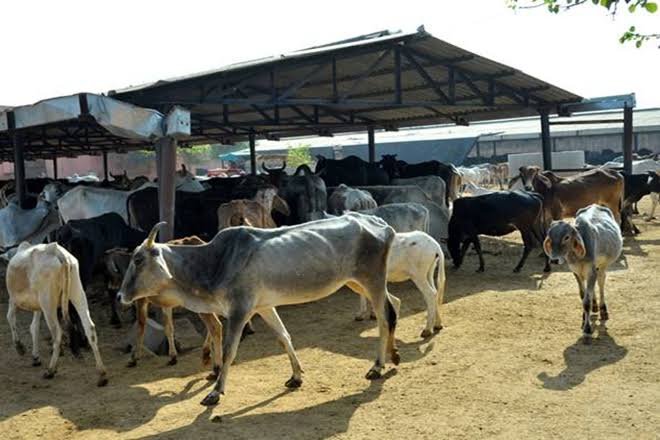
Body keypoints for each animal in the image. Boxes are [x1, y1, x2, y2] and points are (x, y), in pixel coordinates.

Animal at [4, 242, 107, 386]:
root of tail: (57, 251)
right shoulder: (38, 306)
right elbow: (34, 327)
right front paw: (35, 357)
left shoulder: (13, 299)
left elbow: (10, 318)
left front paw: (20, 347)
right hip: (77, 293)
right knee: (89, 327)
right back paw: (101, 374)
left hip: (48, 303)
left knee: (58, 333)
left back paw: (51, 370)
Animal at [116, 213, 400, 406]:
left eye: (138, 260)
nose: (120, 296)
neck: (214, 262)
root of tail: (379, 222)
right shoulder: (263, 306)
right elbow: (284, 337)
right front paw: (296, 376)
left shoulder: (240, 310)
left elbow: (229, 350)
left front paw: (215, 391)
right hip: (356, 282)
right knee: (394, 304)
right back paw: (394, 355)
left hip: (372, 279)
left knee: (384, 318)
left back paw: (378, 366)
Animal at [540, 205, 624, 342]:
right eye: (550, 237)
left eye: (566, 237)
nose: (554, 260)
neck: (577, 256)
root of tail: (596, 205)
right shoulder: (576, 272)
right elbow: (583, 295)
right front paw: (584, 319)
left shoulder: (591, 271)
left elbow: (586, 301)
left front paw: (587, 329)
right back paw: (595, 306)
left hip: (602, 267)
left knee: (601, 283)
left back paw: (603, 310)